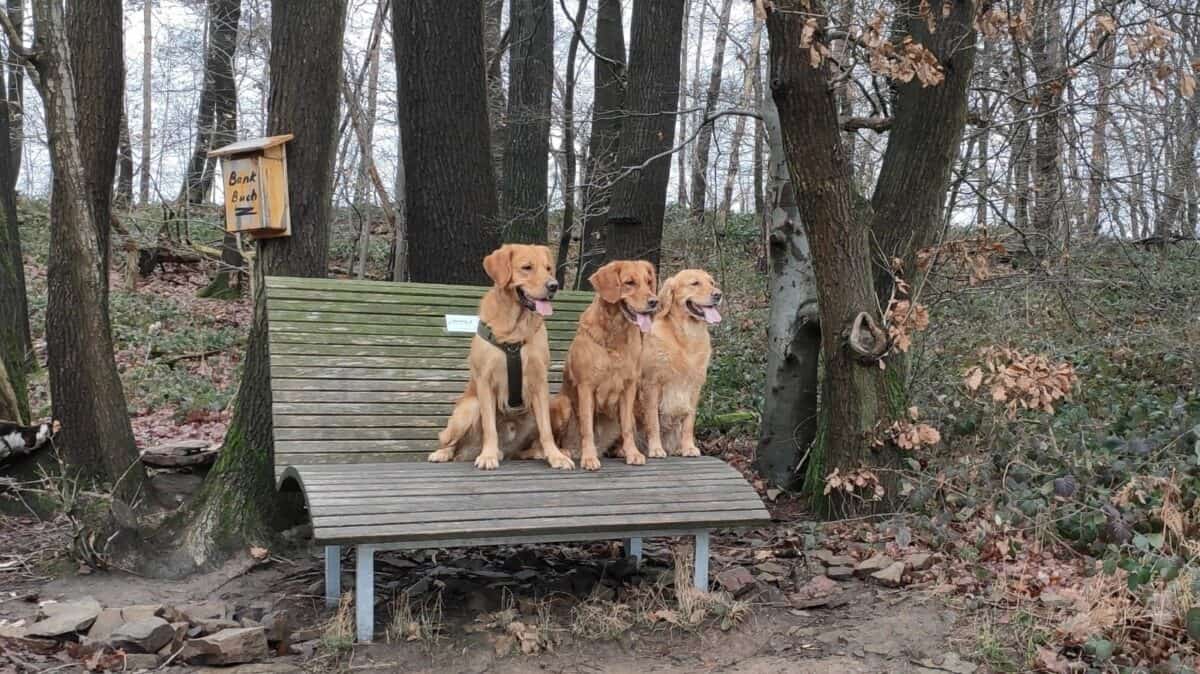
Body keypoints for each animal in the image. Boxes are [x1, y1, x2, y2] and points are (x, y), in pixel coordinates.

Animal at [427, 243, 576, 470]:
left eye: (548, 268)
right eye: (526, 267)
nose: (554, 286)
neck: (515, 327)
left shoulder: (540, 381)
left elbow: (546, 430)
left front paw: (555, 456)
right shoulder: (485, 381)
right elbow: (490, 427)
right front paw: (488, 455)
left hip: (561, 405)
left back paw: (546, 452)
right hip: (468, 408)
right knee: (449, 441)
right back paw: (444, 453)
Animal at [549, 256, 662, 467]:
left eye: (649, 282)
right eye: (629, 282)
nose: (654, 301)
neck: (615, 332)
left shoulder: (629, 387)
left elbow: (626, 428)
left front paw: (632, 453)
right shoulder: (586, 387)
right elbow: (587, 427)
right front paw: (589, 457)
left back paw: (618, 450)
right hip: (564, 403)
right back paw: (568, 451)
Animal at [638, 267, 720, 455]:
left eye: (711, 282)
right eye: (695, 283)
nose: (718, 294)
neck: (687, 336)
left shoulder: (695, 386)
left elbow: (689, 421)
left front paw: (688, 447)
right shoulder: (652, 383)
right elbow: (653, 421)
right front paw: (656, 449)